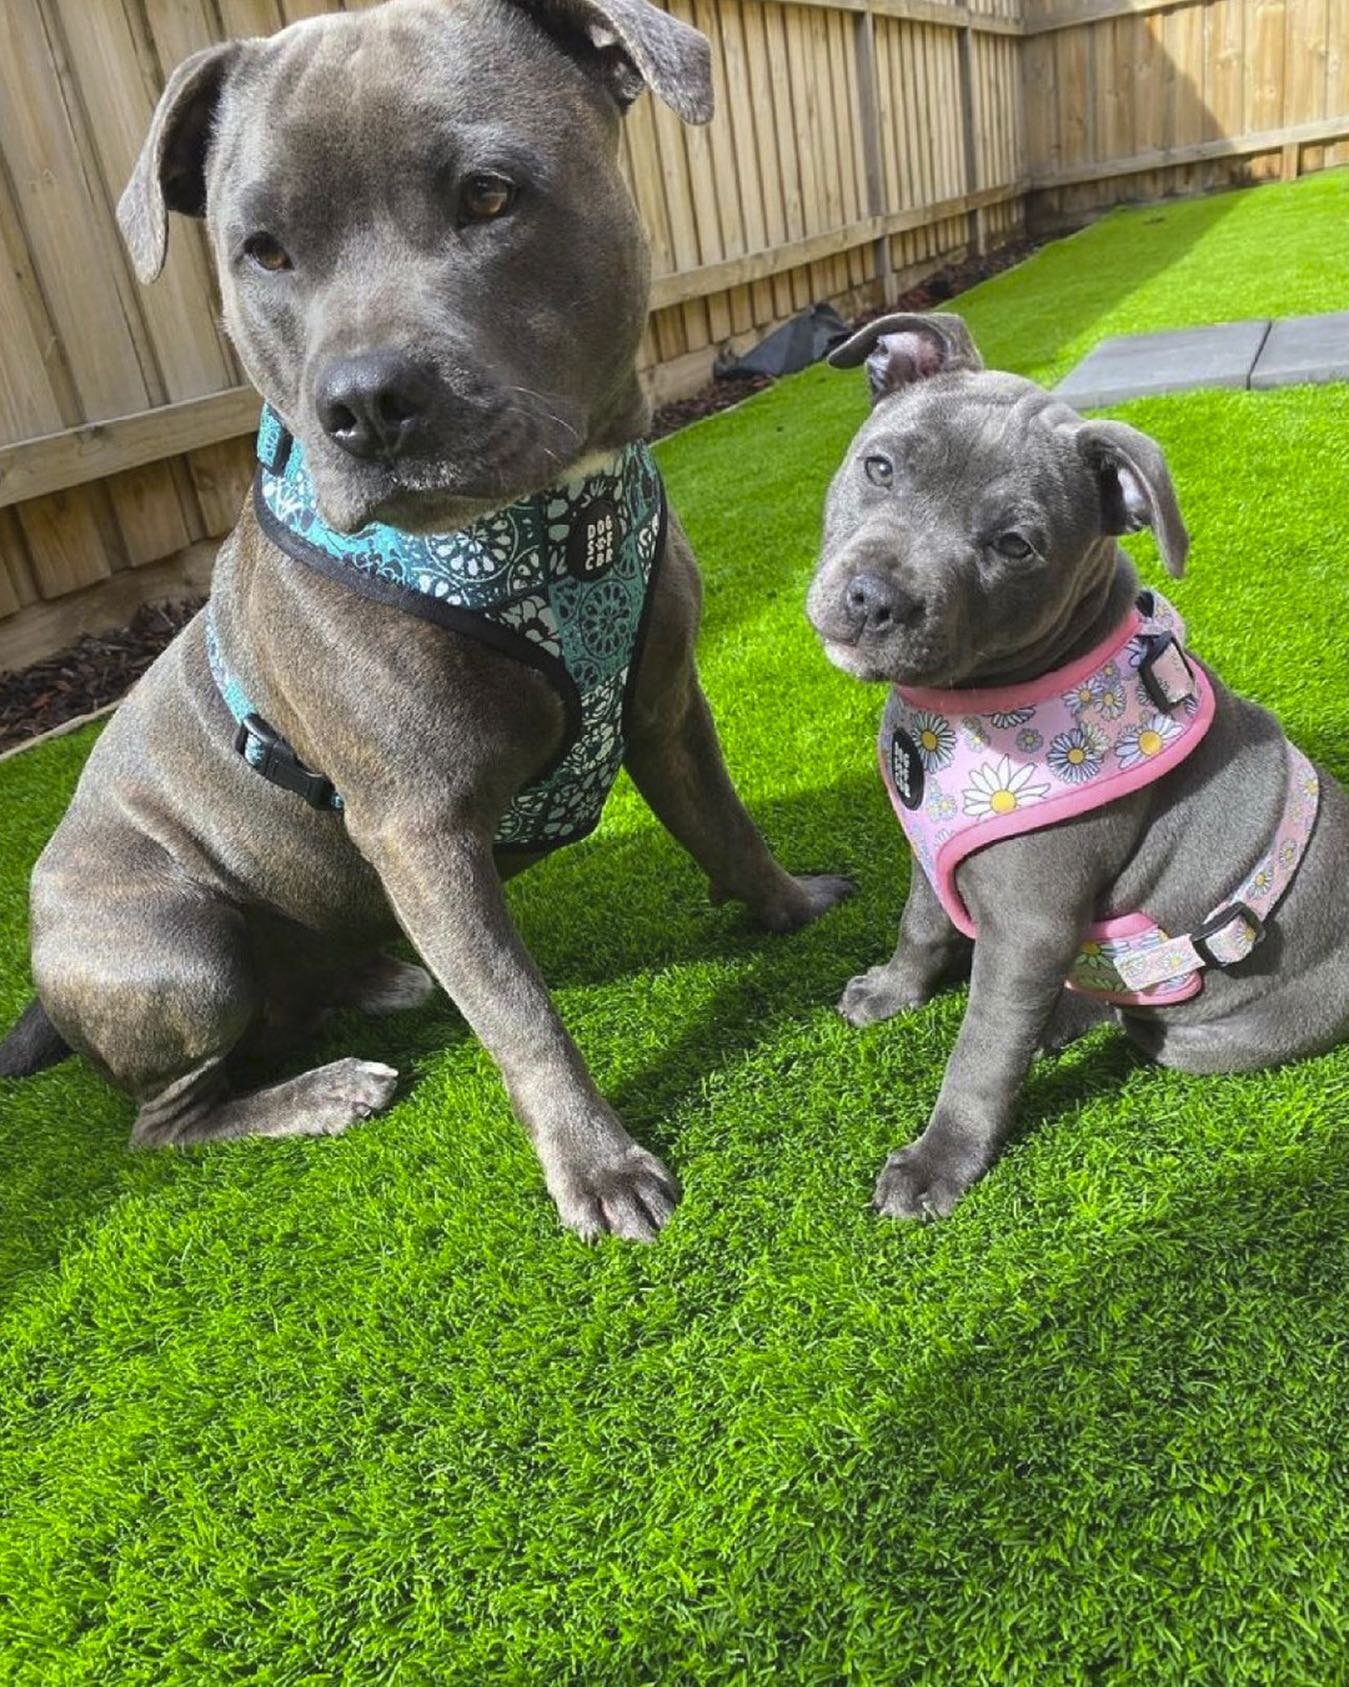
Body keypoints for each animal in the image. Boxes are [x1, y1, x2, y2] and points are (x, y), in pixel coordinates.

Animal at [0, 0, 849, 1241]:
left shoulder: (664, 709)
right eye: (262, 250)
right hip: (181, 950)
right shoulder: (419, 831)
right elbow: (517, 1009)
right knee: (167, 1119)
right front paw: (596, 1165)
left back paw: (378, 980)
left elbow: (725, 827)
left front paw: (787, 904)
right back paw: (316, 1093)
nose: (363, 401)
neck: (545, 528)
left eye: (488, 194)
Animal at [806, 310, 1349, 1221]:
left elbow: (982, 1050)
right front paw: (889, 991)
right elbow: (920, 926)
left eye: (1014, 545)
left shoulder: (1029, 924)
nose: (873, 599)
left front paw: (938, 1162)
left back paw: (1062, 1021)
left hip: (1208, 1032)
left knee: (1128, 1019)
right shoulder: (929, 850)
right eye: (879, 466)